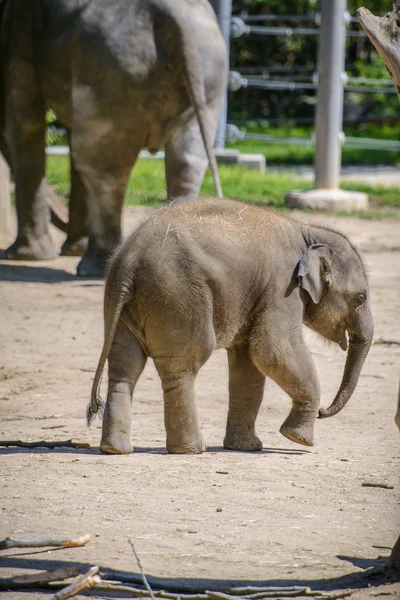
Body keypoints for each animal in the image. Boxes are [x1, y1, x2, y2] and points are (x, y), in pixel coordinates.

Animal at [1, 0, 228, 276]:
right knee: (187, 161)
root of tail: (173, 16)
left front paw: (24, 257)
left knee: (102, 169)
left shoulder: (20, 27)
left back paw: (94, 267)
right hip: (208, 74)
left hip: (111, 73)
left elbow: (26, 123)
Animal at [86, 198, 372, 454]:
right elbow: (274, 350)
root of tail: (128, 263)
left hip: (125, 304)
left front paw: (248, 447)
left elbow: (249, 364)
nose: (324, 412)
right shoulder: (283, 287)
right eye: (360, 298)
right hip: (178, 296)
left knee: (124, 364)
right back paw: (191, 449)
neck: (308, 231)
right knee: (183, 365)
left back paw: (115, 449)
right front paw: (299, 440)